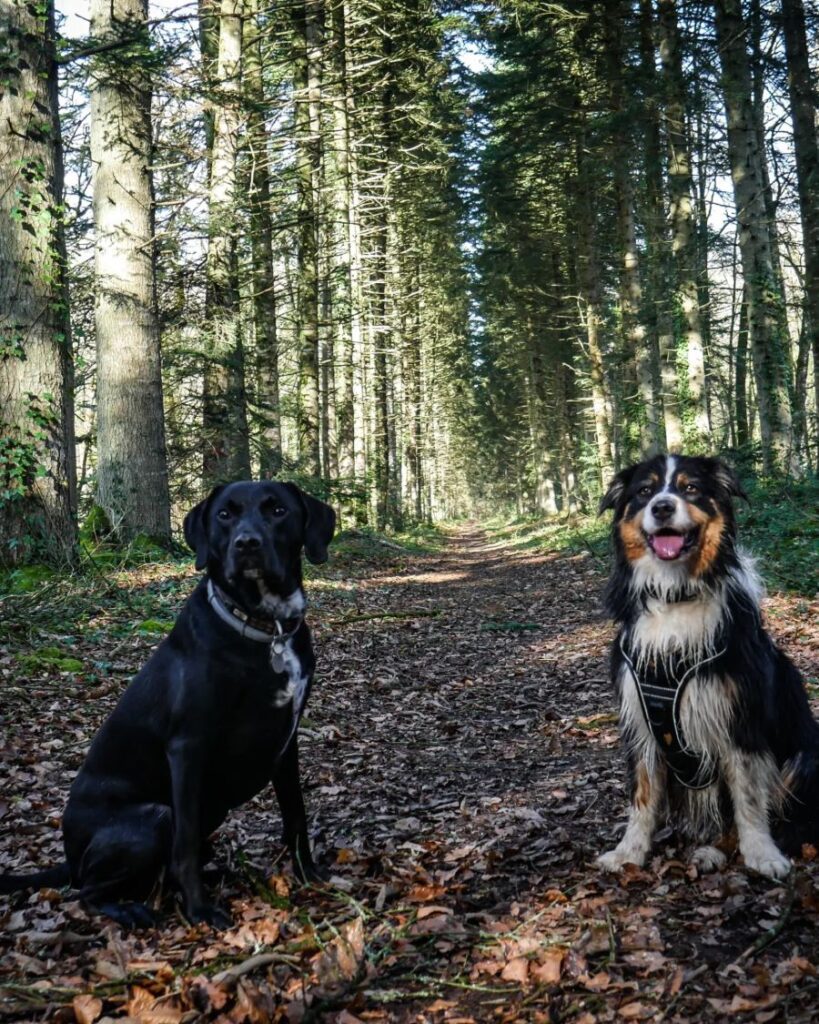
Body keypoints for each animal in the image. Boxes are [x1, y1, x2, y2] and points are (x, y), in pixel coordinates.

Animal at [0, 479, 335, 929]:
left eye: (278, 510)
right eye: (224, 515)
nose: (247, 543)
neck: (266, 627)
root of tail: (69, 856)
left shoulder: (286, 741)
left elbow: (295, 814)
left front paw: (308, 873)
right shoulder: (187, 748)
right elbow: (186, 844)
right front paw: (199, 910)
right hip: (154, 816)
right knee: (86, 891)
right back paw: (132, 907)